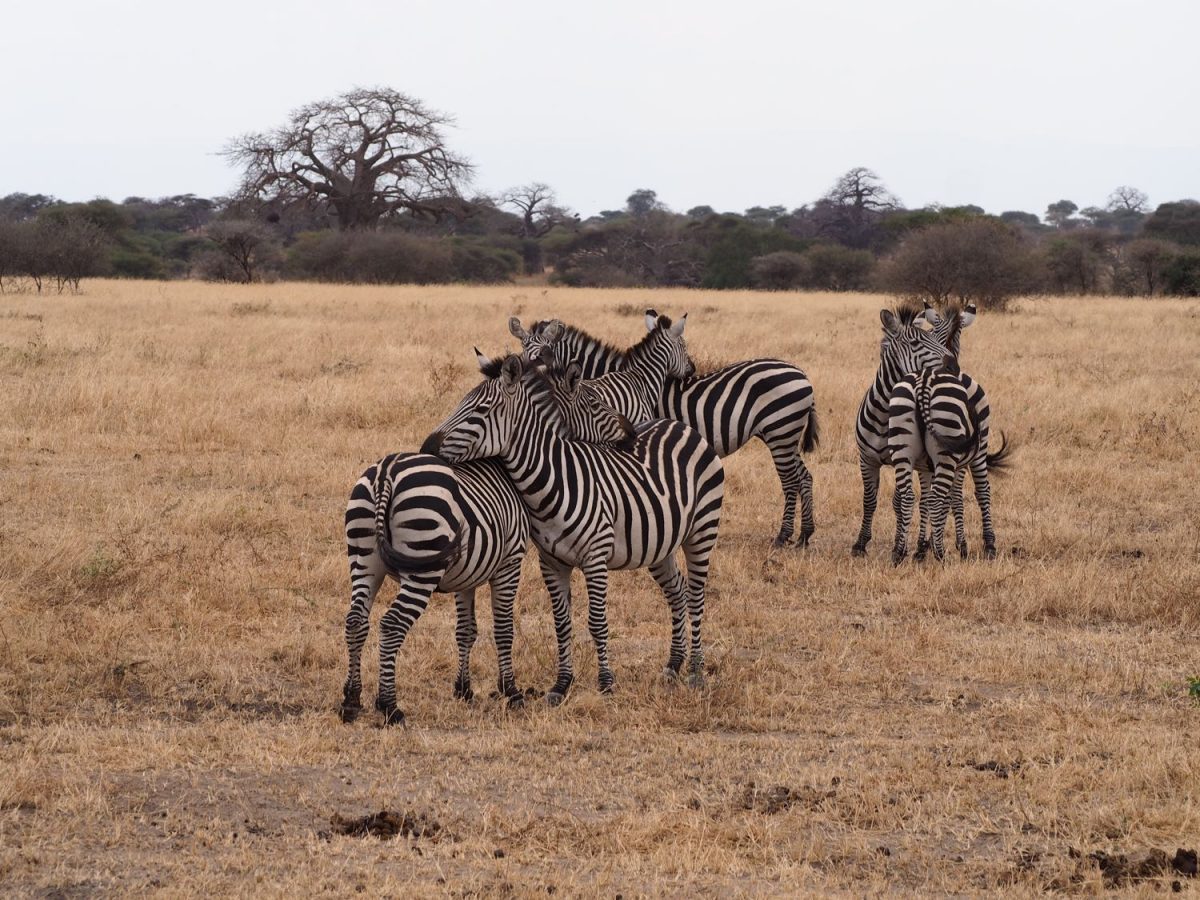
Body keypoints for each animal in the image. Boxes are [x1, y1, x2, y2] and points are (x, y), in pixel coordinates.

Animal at [340, 453, 528, 729]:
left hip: (363, 556)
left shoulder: (466, 577)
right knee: (392, 624)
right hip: (423, 559)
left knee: (356, 621)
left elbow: (466, 631)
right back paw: (390, 707)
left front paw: (463, 690)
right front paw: (511, 691)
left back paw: (351, 700)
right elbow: (504, 630)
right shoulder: (510, 561)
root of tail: (386, 470)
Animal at [422, 352, 720, 705]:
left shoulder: (595, 558)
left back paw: (696, 671)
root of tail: (681, 426)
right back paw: (673, 665)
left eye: (479, 410)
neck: (553, 482)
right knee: (677, 591)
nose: (426, 448)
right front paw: (561, 685)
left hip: (701, 531)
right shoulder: (552, 563)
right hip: (660, 545)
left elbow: (597, 622)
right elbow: (562, 624)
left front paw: (606, 684)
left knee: (696, 595)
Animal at [506, 309, 816, 549]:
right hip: (784, 434)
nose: (524, 382)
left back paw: (783, 536)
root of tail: (801, 373)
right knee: (804, 476)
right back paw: (804, 535)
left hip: (780, 432)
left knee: (790, 481)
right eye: (523, 351)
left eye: (543, 355)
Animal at [854, 303, 974, 556]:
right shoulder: (866, 458)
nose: (953, 366)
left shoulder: (904, 460)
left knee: (944, 498)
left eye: (933, 338)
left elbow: (899, 502)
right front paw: (860, 543)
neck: (884, 413)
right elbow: (869, 500)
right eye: (915, 343)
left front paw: (899, 543)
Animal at [888, 312, 1008, 564]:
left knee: (908, 496)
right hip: (950, 450)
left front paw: (923, 547)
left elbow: (930, 500)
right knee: (942, 497)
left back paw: (899, 553)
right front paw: (978, 546)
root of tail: (923, 382)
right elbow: (970, 495)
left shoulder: (925, 465)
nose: (953, 365)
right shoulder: (972, 455)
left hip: (903, 444)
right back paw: (942, 555)